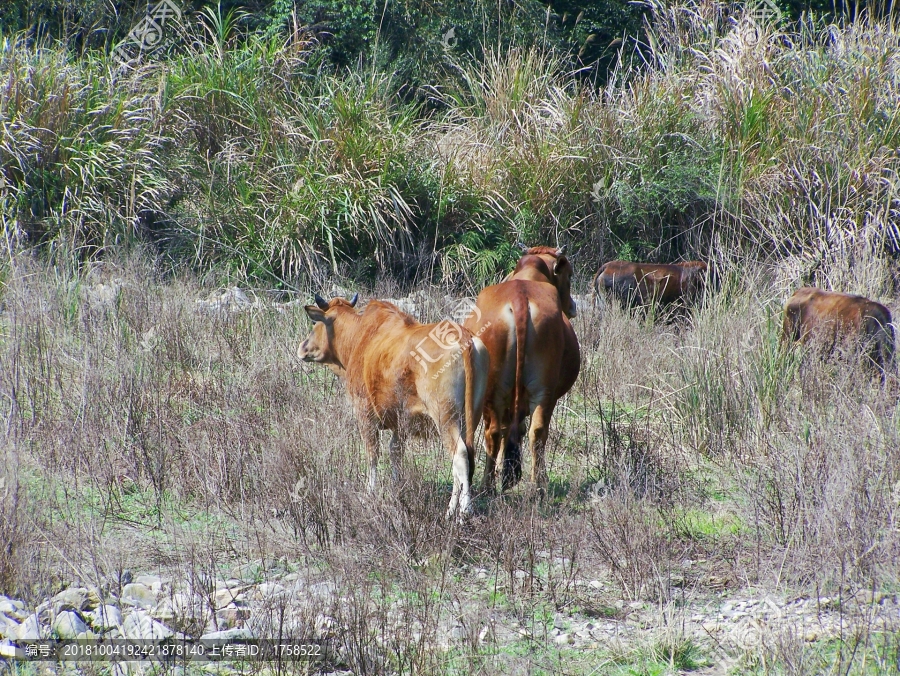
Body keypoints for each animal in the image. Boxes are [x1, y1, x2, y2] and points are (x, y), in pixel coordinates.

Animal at [298, 294, 488, 520]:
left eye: (314, 323)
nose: (302, 348)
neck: (359, 337)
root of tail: (464, 338)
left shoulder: (365, 415)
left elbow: (372, 454)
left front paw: (369, 493)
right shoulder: (401, 423)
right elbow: (395, 452)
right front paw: (397, 489)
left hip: (445, 417)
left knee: (459, 455)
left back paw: (459, 509)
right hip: (470, 419)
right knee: (465, 455)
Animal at [468, 246, 580, 494]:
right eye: (569, 276)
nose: (573, 307)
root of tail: (519, 299)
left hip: (499, 391)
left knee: (498, 432)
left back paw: (490, 485)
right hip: (542, 391)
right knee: (534, 432)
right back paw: (537, 484)